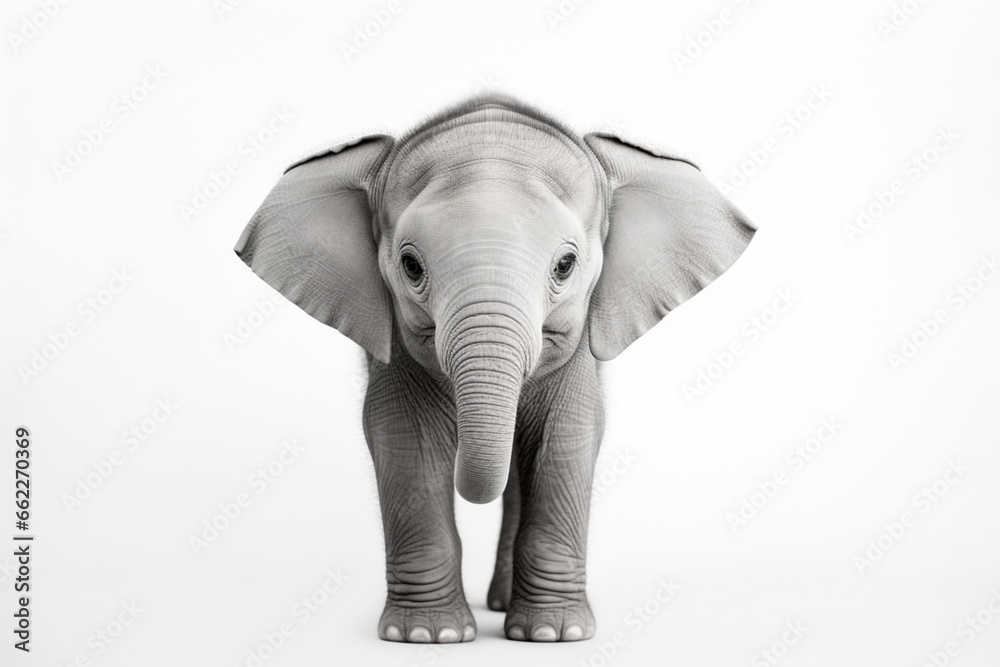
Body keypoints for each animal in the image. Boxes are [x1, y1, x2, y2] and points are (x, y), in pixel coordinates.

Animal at [234, 94, 755, 644]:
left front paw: (554, 636)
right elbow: (406, 438)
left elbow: (565, 436)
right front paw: (428, 637)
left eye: (565, 266)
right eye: (411, 266)